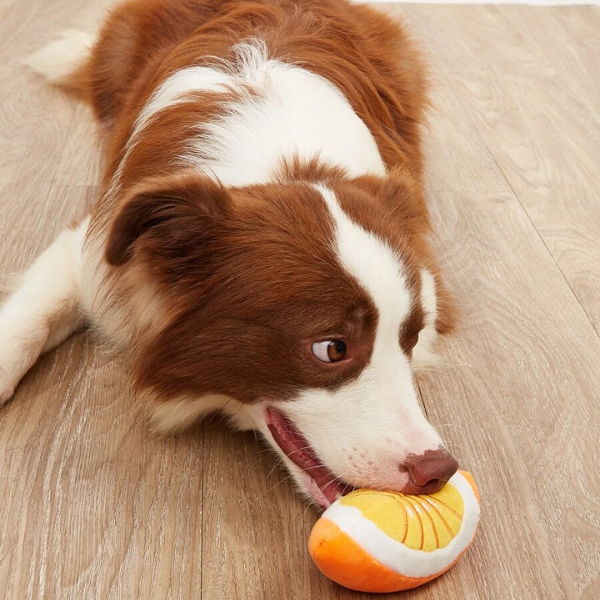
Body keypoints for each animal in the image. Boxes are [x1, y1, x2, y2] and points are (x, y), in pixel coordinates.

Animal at [1, 0, 460, 508]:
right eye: (332, 348)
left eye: (410, 339)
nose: (437, 470)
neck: (282, 166)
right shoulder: (93, 246)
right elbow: (27, 322)